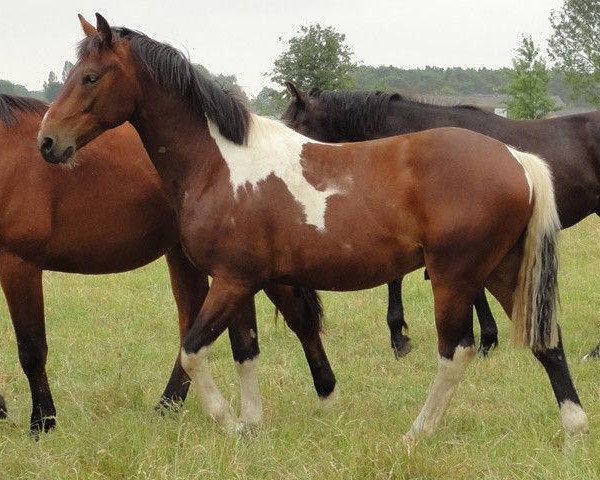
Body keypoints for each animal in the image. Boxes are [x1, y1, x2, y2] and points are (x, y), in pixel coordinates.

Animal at [0, 94, 336, 436]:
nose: (48, 143)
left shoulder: (19, 264)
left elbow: (31, 348)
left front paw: (43, 421)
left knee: (300, 317)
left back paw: (324, 393)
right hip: (187, 256)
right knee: (193, 320)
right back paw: (170, 403)